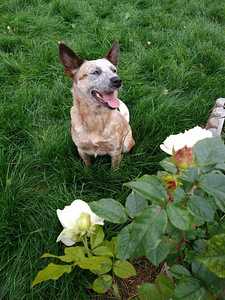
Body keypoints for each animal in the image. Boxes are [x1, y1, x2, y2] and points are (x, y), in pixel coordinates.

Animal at [59, 40, 134, 169]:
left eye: (114, 70)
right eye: (95, 72)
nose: (118, 80)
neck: (95, 117)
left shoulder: (116, 151)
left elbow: (114, 169)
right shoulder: (82, 150)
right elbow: (88, 166)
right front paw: (88, 171)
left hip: (126, 144)